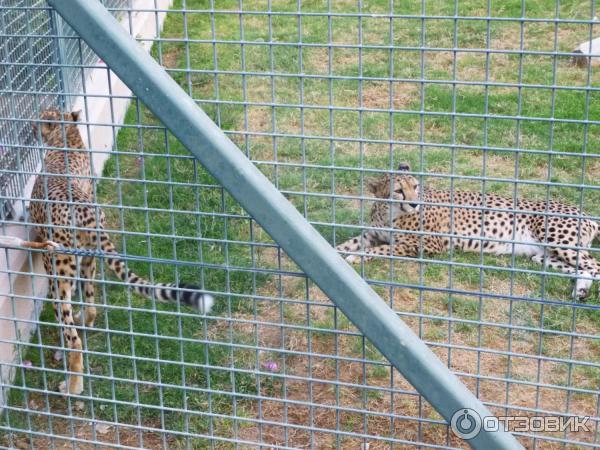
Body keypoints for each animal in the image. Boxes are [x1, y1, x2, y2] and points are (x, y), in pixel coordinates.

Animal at [29, 110, 216, 394]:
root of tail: (86, 211)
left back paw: (72, 384)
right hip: (89, 260)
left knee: (72, 335)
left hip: (58, 274)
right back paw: (85, 323)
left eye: (42, 117)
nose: (31, 125)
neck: (68, 139)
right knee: (91, 305)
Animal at [338, 163, 600, 300]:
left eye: (415, 186)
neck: (388, 212)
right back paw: (581, 290)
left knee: (594, 265)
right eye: (398, 191)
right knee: (585, 268)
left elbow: (383, 249)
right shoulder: (370, 235)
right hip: (544, 255)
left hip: (558, 241)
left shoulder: (426, 245)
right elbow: (347, 244)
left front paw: (355, 257)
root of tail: (585, 213)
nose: (414, 203)